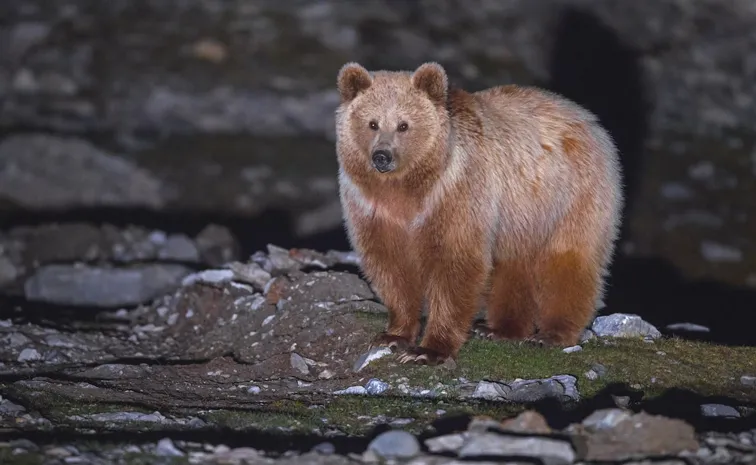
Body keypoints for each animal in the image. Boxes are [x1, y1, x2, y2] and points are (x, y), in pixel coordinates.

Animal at [334, 61, 623, 365]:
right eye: (372, 123)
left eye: (404, 125)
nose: (382, 156)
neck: (408, 189)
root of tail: (588, 118)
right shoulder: (373, 210)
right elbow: (390, 267)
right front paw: (393, 335)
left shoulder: (457, 194)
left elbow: (456, 265)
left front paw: (429, 350)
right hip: (520, 218)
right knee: (513, 266)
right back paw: (499, 328)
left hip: (568, 196)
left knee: (568, 259)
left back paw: (551, 334)